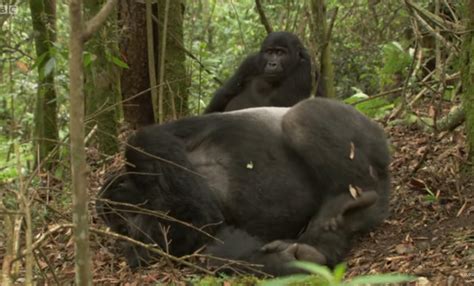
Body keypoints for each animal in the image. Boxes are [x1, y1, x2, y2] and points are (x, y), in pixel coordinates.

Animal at [96, 98, 388, 274]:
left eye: (123, 218)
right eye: (120, 227)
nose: (130, 230)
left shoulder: (149, 144)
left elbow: (199, 216)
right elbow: (207, 246)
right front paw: (277, 260)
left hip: (367, 136)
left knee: (301, 116)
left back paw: (354, 205)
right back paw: (326, 239)